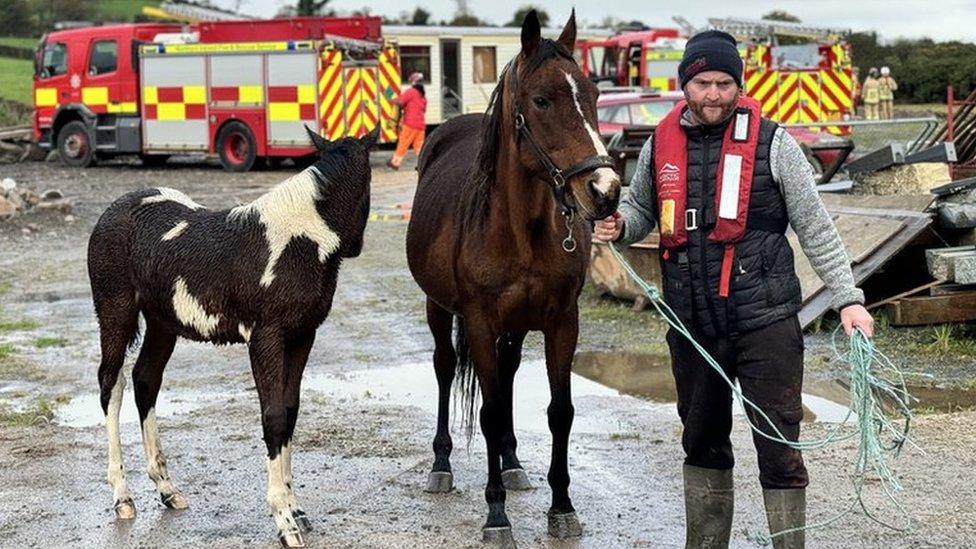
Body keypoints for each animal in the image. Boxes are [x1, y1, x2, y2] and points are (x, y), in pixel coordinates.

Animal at [88, 126, 378, 544]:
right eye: (370, 179)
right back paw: (122, 496)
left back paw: (167, 488)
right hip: (116, 314)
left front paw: (296, 509)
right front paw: (284, 520)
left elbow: (289, 411)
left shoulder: (302, 336)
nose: (356, 247)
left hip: (162, 323)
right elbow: (272, 416)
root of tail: (110, 213)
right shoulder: (265, 338)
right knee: (112, 385)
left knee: (146, 381)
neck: (298, 239)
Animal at [406, 10, 620, 544]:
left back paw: (511, 460)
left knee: (505, 378)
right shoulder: (480, 323)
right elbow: (485, 412)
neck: (520, 231)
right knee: (445, 368)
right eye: (541, 100)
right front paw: (496, 514)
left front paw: (562, 507)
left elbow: (558, 411)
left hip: (517, 327)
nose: (605, 191)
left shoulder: (562, 322)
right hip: (439, 309)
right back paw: (442, 465)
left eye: (594, 94)